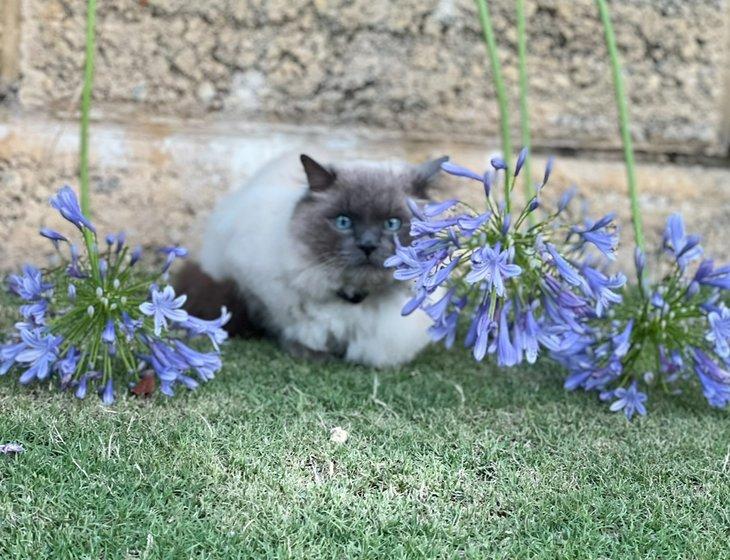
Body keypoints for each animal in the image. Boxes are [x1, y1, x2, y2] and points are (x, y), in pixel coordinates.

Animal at [178, 151, 446, 368]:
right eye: (343, 222)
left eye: (392, 224)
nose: (368, 246)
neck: (354, 298)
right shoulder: (261, 290)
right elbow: (293, 331)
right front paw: (312, 355)